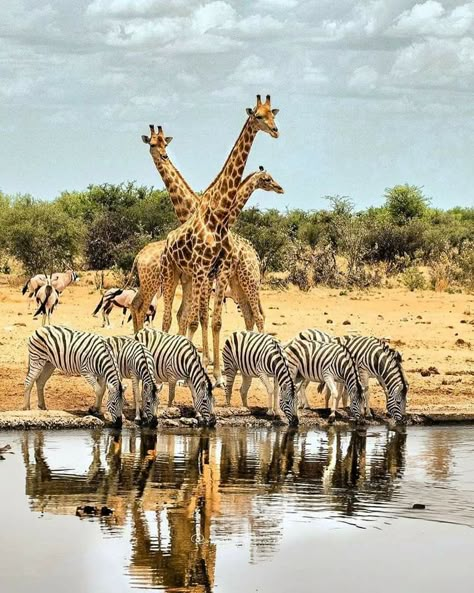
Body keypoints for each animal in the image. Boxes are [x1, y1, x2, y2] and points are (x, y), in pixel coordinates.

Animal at [158, 96, 278, 374]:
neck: (219, 216)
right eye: (258, 115)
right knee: (170, 316)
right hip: (173, 274)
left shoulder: (216, 271)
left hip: (244, 281)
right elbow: (199, 318)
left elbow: (212, 320)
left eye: (273, 114)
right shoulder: (202, 271)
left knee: (254, 314)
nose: (276, 130)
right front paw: (205, 365)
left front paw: (215, 370)